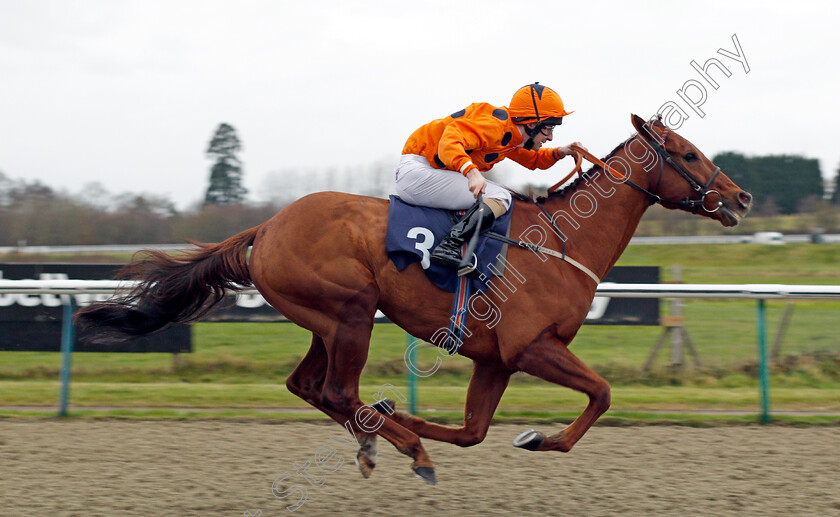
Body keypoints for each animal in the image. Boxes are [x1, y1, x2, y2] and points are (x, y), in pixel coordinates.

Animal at [75, 114, 752, 484]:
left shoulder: (495, 359)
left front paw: (409, 420)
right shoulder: (531, 347)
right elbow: (603, 393)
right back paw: (405, 447)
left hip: (325, 321)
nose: (741, 198)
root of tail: (265, 228)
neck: (563, 239)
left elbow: (473, 431)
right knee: (335, 391)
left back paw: (378, 438)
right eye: (688, 154)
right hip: (351, 311)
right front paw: (538, 439)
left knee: (309, 386)